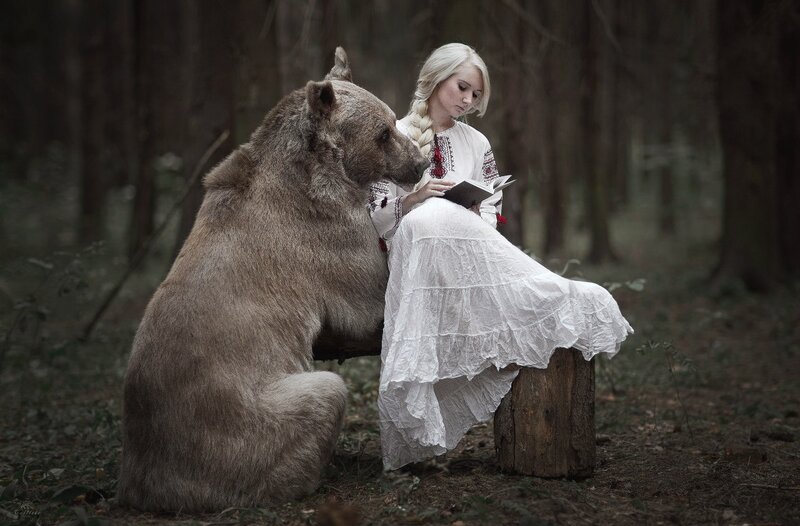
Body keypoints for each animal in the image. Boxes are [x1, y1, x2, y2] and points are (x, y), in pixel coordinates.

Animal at [117, 48, 427, 512]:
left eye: (392, 120)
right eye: (383, 132)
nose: (420, 163)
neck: (321, 171)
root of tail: (147, 486)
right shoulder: (328, 236)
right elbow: (371, 295)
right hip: (242, 426)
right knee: (323, 395)